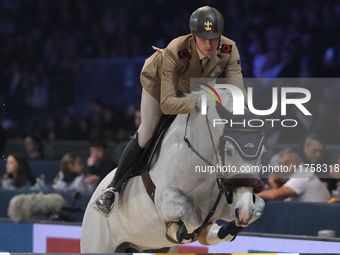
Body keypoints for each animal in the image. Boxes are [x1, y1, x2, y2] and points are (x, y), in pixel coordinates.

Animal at [81, 88, 266, 252]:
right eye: (228, 150)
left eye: (263, 152)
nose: (244, 211)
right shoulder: (165, 200)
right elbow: (192, 213)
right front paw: (180, 231)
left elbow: (259, 207)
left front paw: (220, 230)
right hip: (98, 243)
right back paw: (106, 200)